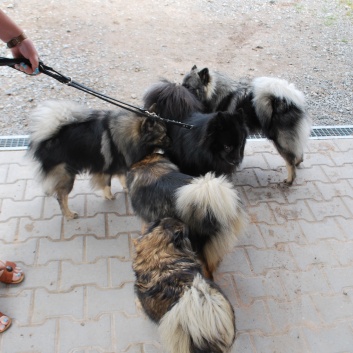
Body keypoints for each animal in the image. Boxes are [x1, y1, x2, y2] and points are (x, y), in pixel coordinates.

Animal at [28, 99, 169, 219]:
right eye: (163, 137)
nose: (171, 142)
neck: (126, 137)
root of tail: (47, 140)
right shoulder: (106, 169)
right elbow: (108, 184)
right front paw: (109, 196)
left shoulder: (120, 164)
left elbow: (122, 178)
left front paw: (126, 189)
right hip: (67, 175)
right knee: (61, 197)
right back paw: (69, 214)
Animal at [182, 65, 310, 184]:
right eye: (183, 84)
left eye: (189, 87)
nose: (180, 89)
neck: (216, 94)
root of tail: (290, 100)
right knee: (298, 151)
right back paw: (298, 162)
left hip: (280, 140)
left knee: (290, 159)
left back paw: (290, 179)